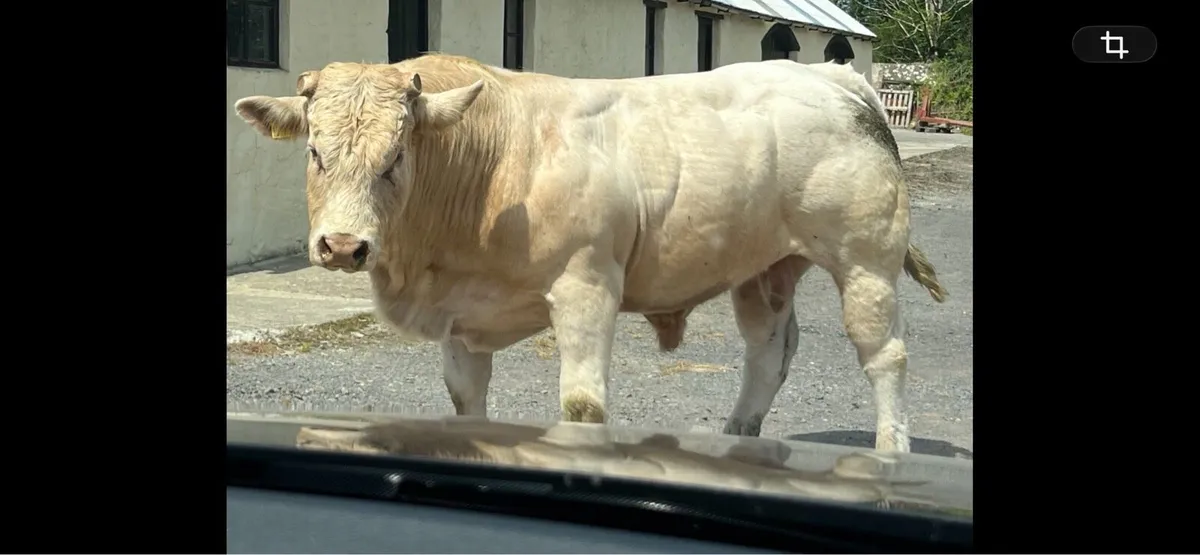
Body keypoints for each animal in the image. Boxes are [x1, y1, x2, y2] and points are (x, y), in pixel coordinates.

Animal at [233, 54, 948, 453]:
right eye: (314, 151)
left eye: (396, 156)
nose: (343, 245)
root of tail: (835, 78)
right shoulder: (462, 314)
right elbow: (466, 401)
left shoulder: (587, 287)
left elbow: (582, 405)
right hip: (764, 268)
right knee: (769, 353)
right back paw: (736, 441)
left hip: (866, 260)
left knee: (884, 355)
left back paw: (890, 452)